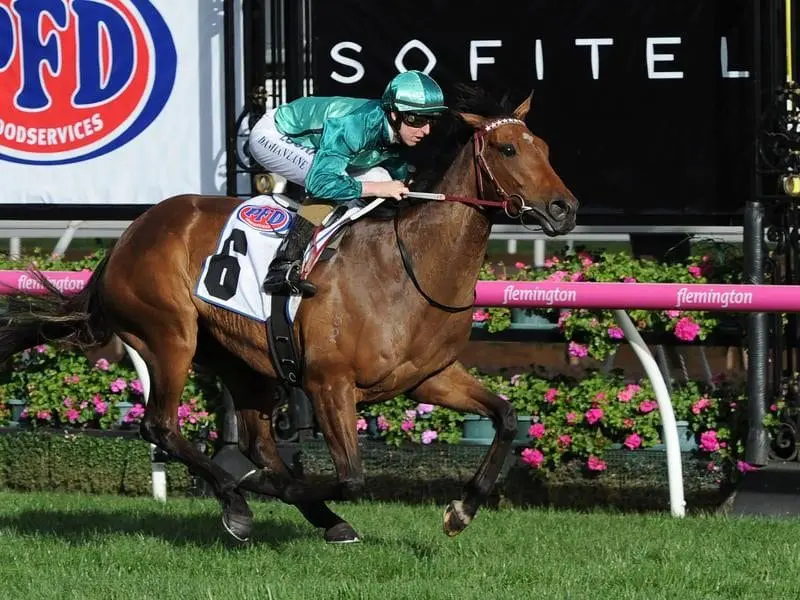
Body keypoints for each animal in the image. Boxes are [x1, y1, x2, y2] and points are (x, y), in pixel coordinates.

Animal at [0, 85, 580, 544]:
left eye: (546, 148)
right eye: (508, 148)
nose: (564, 209)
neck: (409, 267)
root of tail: (127, 237)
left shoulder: (426, 376)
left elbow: (506, 417)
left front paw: (461, 511)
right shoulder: (329, 383)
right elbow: (351, 477)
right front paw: (264, 492)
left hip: (240, 358)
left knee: (258, 443)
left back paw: (306, 513)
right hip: (169, 336)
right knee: (161, 426)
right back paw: (238, 501)